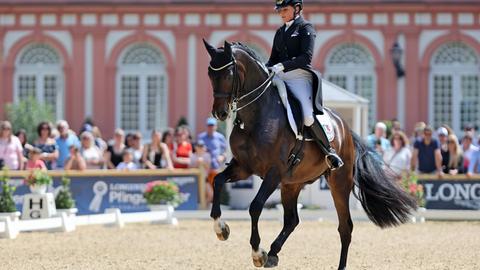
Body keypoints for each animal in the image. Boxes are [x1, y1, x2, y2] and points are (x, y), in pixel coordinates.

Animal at [202, 40, 416, 270]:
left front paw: (257, 253)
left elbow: (255, 206)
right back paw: (274, 253)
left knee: (345, 227)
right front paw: (221, 229)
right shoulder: (243, 167)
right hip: (292, 183)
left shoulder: (274, 172)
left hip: (339, 182)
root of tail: (346, 129)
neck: (256, 117)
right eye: (210, 74)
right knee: (292, 220)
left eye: (229, 74)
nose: (220, 113)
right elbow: (217, 181)